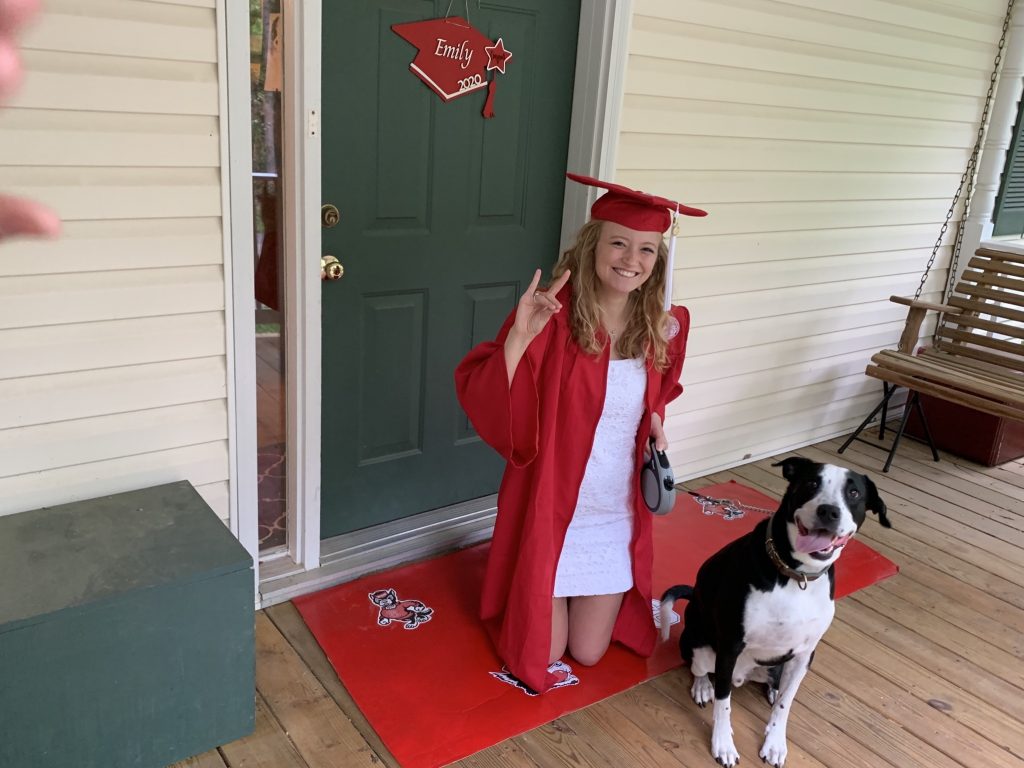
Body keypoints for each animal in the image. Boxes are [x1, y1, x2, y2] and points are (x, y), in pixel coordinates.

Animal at [663, 460, 888, 765]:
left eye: (853, 493)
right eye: (811, 483)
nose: (829, 511)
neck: (796, 575)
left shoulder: (805, 654)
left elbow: (785, 703)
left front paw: (775, 742)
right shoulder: (730, 647)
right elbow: (723, 704)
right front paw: (723, 744)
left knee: (775, 683)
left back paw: (770, 688)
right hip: (700, 646)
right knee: (701, 671)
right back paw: (702, 687)